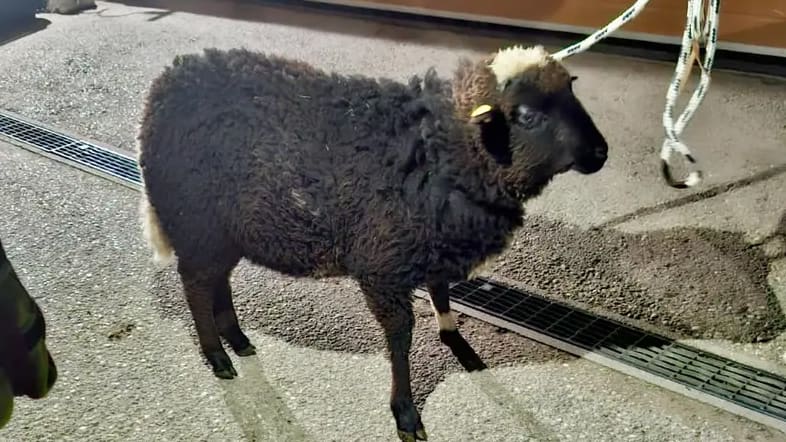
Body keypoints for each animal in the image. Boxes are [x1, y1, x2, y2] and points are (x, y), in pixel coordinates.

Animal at [136, 45, 608, 441]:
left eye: (572, 91)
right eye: (527, 115)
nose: (601, 153)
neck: (447, 151)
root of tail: (164, 85)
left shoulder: (431, 245)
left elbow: (441, 295)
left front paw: (458, 344)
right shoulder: (383, 266)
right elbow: (400, 336)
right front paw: (406, 413)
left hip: (225, 231)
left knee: (218, 281)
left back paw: (237, 338)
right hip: (197, 222)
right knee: (196, 285)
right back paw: (218, 356)